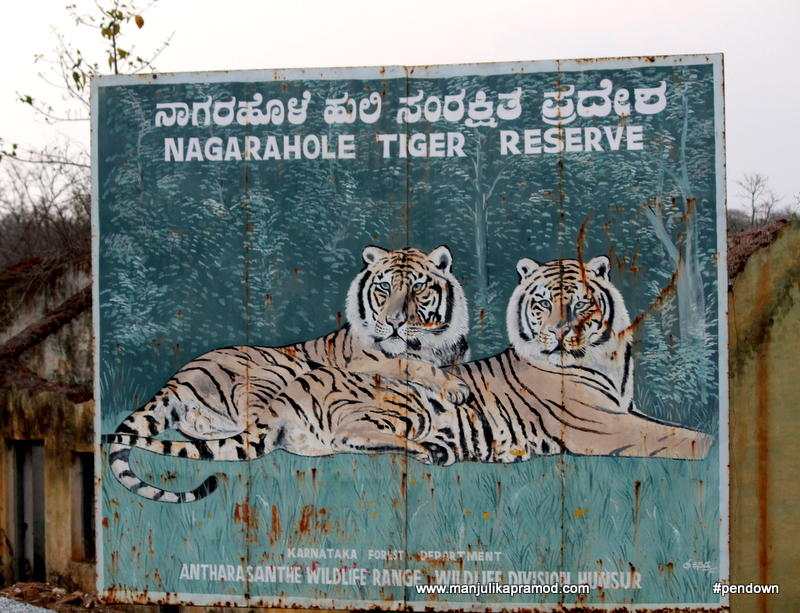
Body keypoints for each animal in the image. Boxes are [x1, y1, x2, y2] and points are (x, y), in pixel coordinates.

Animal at [104, 244, 468, 502]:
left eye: (418, 288)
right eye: (383, 287)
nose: (395, 322)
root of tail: (174, 381)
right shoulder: (368, 363)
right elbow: (411, 365)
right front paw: (455, 387)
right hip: (275, 372)